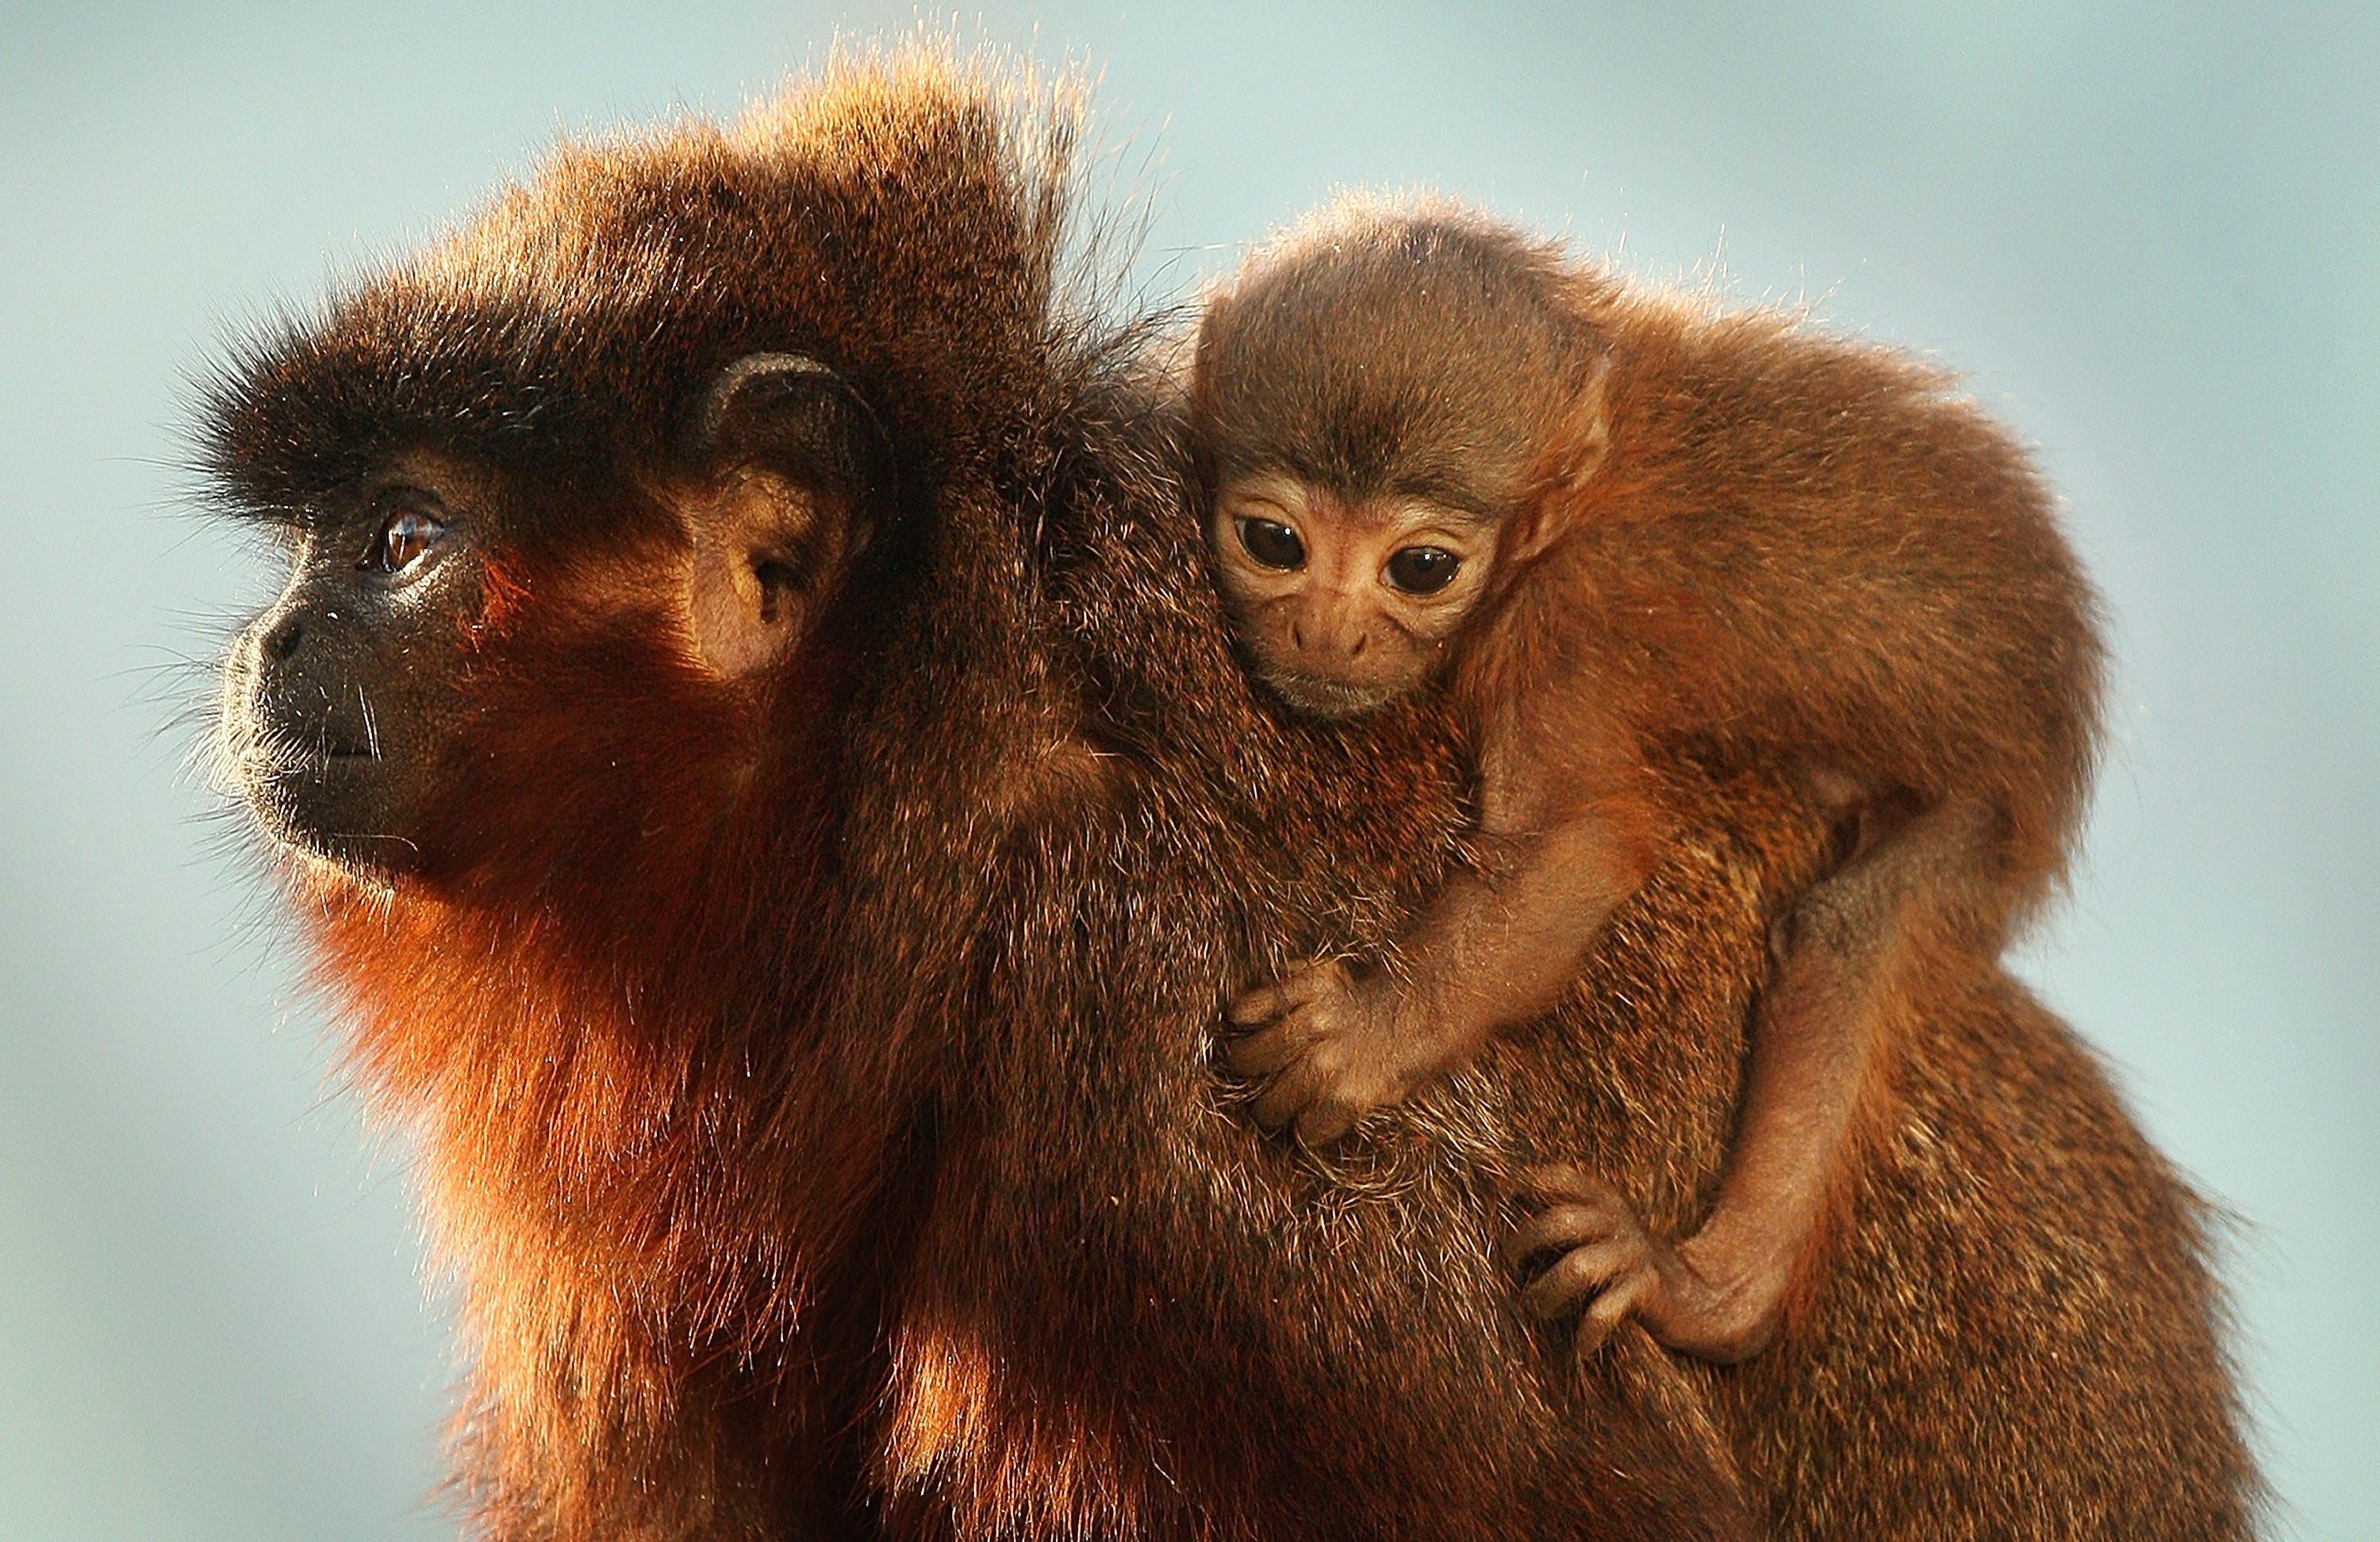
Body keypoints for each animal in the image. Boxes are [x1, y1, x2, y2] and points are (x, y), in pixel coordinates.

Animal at [1200, 202, 2113, 1361]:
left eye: (1420, 569)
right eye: (1275, 542)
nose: (1326, 631)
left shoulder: (1560, 627)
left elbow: (1578, 846)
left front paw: (1368, 1036)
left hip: (1988, 819)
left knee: (1843, 940)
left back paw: (1711, 1293)